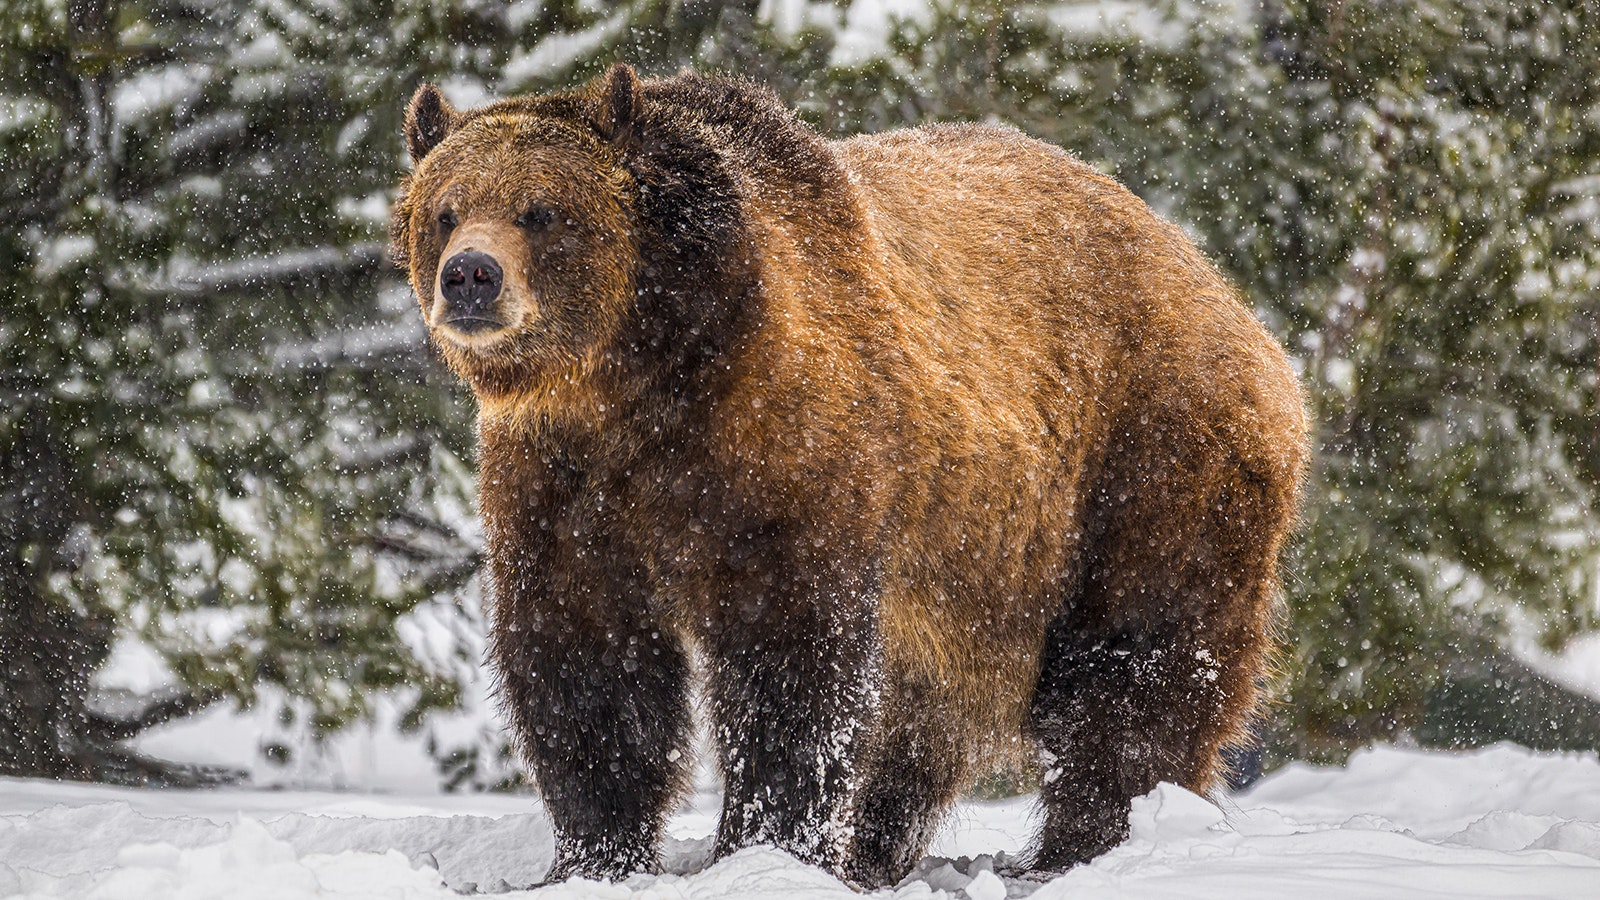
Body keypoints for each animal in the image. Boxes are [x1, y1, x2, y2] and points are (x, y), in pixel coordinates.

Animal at [393, 64, 1305, 883]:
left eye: (542, 210)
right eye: (445, 210)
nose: (470, 275)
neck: (642, 374)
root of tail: (1219, 288)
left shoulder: (783, 452)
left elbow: (791, 665)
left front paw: (762, 844)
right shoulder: (563, 483)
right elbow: (586, 665)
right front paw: (597, 854)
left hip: (1145, 456)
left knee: (1136, 662)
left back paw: (1090, 842)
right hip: (966, 575)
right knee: (925, 714)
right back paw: (880, 846)